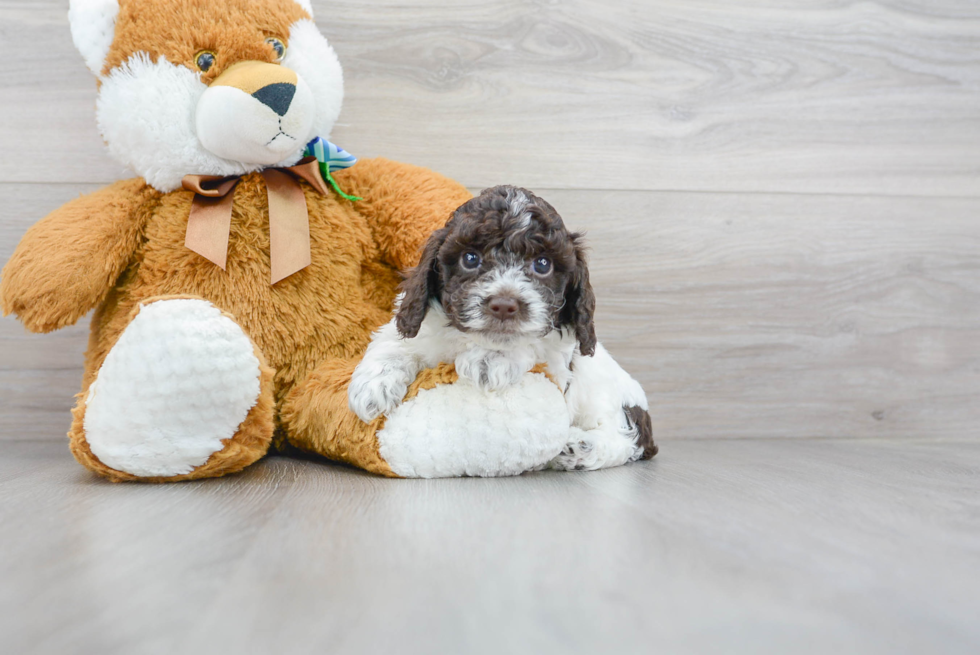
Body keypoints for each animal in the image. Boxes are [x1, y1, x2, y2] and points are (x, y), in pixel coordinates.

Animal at [346, 186, 660, 472]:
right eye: (470, 258)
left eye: (543, 264)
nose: (504, 305)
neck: (470, 339)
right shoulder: (420, 324)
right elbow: (394, 343)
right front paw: (373, 387)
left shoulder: (559, 362)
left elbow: (531, 344)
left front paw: (491, 359)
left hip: (610, 400)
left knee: (626, 439)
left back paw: (578, 448)